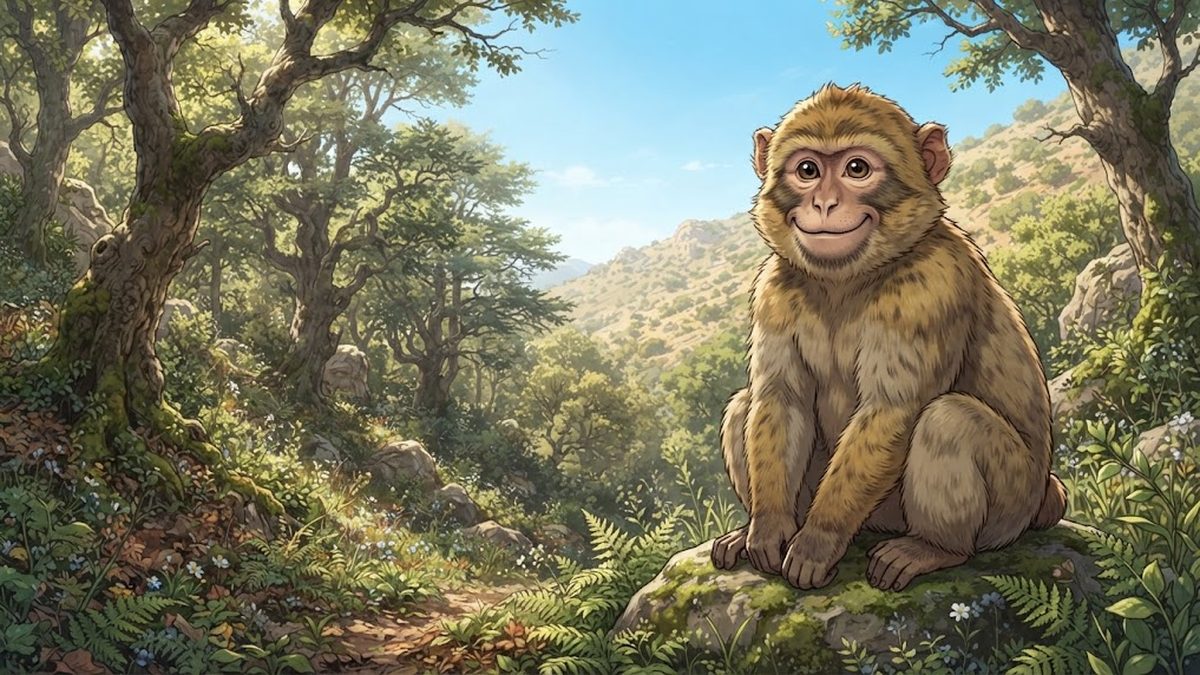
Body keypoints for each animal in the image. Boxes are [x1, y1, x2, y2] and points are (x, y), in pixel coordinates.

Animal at [710, 83, 1067, 592]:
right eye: (807, 170)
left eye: (857, 169)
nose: (824, 203)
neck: (845, 283)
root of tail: (1043, 497)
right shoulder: (774, 290)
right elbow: (780, 399)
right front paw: (768, 528)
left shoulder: (931, 286)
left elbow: (890, 409)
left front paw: (818, 540)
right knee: (746, 403)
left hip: (1009, 505)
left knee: (947, 421)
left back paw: (934, 548)